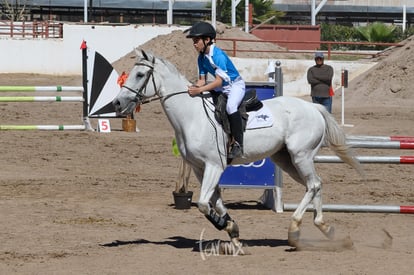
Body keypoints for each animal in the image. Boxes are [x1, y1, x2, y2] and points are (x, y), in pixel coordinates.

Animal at [111, 50, 360, 250]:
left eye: (140, 75)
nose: (117, 104)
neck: (191, 116)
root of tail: (314, 107)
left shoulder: (214, 165)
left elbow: (203, 204)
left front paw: (225, 225)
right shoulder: (200, 168)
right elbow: (216, 202)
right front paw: (232, 229)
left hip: (301, 156)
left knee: (314, 185)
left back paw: (295, 229)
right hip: (286, 160)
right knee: (314, 184)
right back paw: (324, 227)